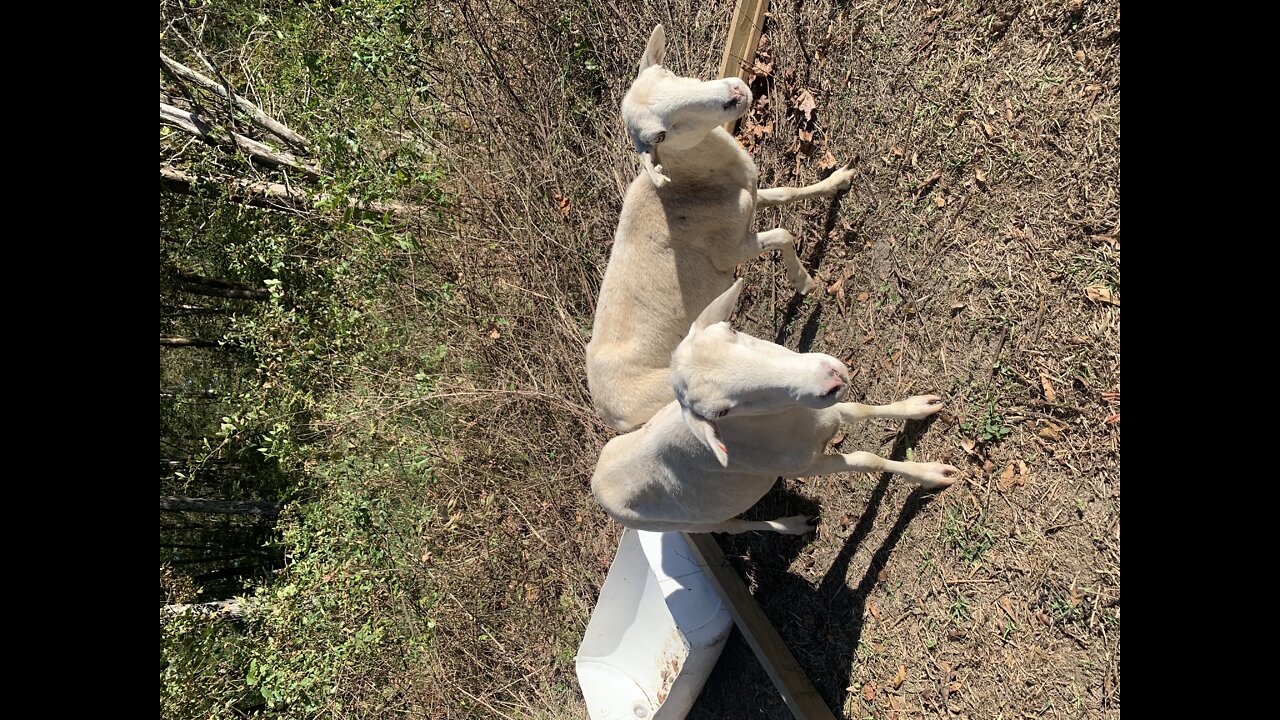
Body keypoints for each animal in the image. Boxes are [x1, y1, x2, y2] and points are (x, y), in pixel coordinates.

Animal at [588, 26, 860, 430]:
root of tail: (607, 411)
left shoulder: (749, 195)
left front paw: (838, 182)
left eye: (669, 73)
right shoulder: (731, 249)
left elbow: (787, 192)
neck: (685, 186)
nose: (733, 93)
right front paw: (804, 282)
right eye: (661, 136)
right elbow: (783, 235)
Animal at [591, 280, 962, 532]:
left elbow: (863, 411)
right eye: (722, 412)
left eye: (732, 328)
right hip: (688, 525)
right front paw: (933, 475)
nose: (831, 379)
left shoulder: (824, 412)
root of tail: (597, 481)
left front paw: (920, 408)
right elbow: (866, 459)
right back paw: (794, 525)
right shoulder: (807, 467)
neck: (785, 423)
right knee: (738, 526)